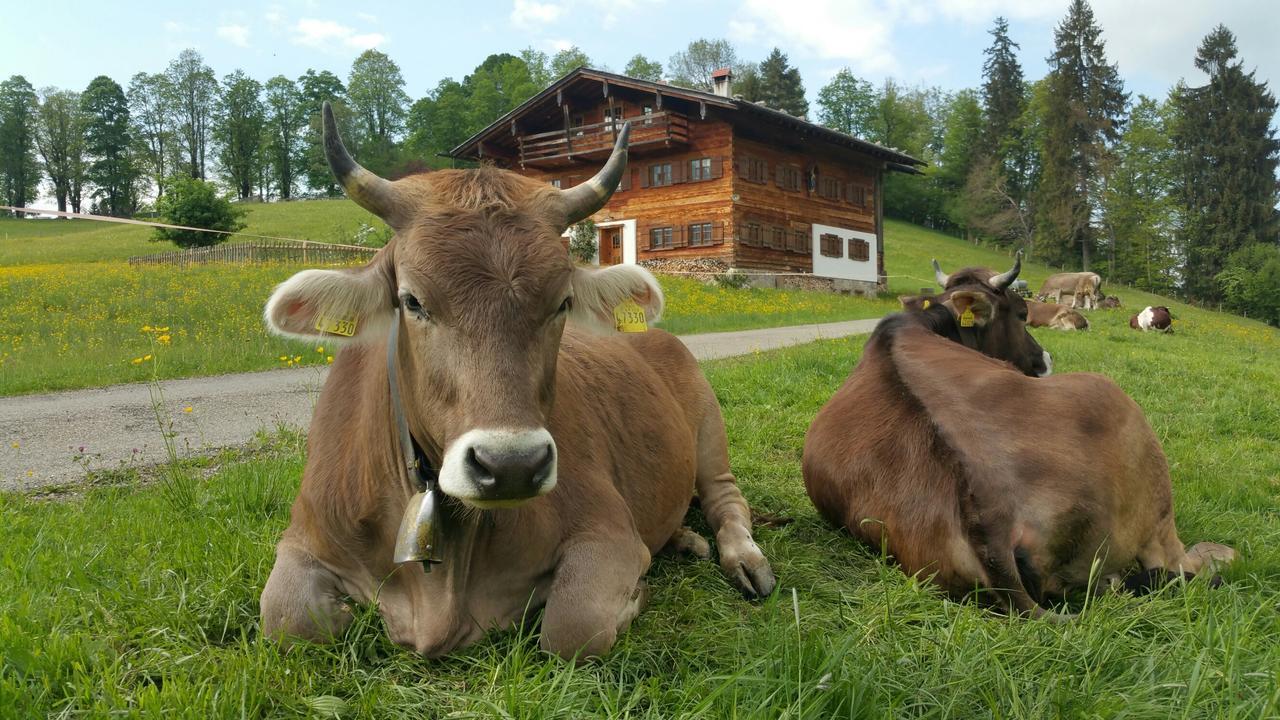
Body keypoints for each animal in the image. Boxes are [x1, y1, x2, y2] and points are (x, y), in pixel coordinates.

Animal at [803, 253, 1233, 617]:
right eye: (1022, 313)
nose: (1045, 360)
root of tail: (992, 522)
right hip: (1134, 446)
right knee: (1180, 564)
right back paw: (1219, 552)